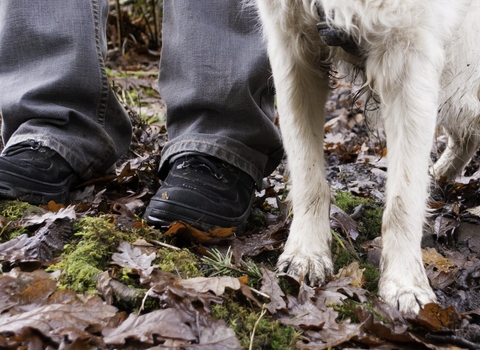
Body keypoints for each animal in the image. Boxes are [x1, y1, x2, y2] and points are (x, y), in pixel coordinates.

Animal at [251, 0, 480, 314]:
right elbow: (307, 176)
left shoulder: (410, 53)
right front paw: (306, 253)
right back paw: (439, 175)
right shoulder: (292, 45)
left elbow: (403, 199)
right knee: (467, 135)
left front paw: (404, 283)